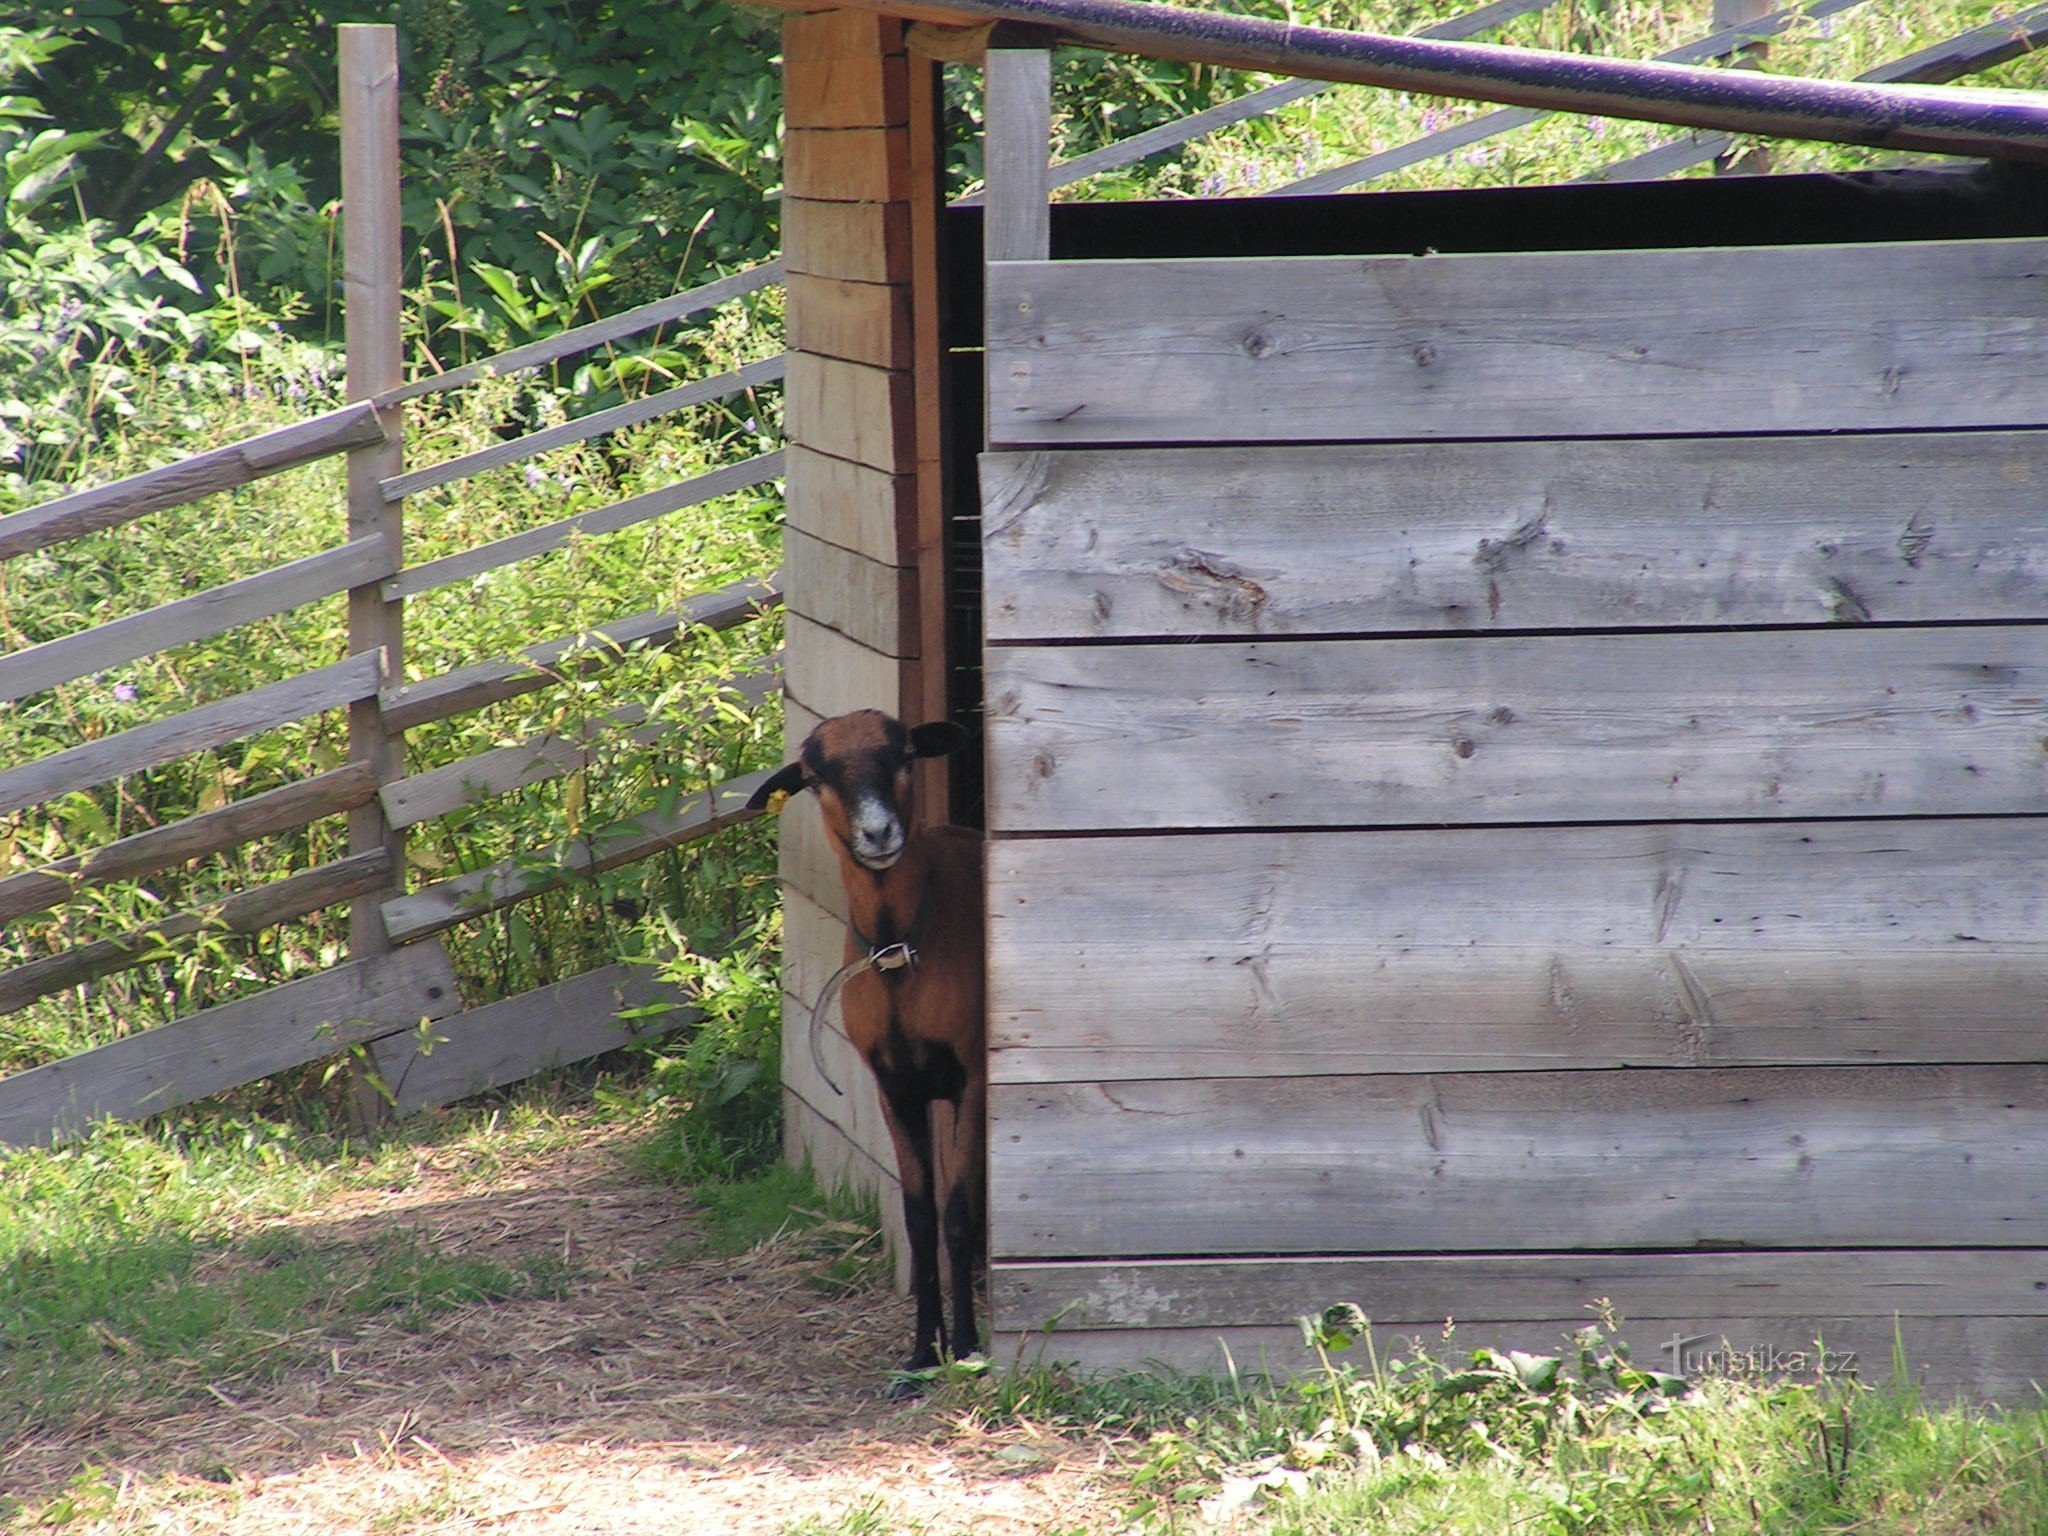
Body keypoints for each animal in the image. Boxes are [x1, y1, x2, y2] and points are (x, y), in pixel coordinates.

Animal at [749, 708, 987, 1392]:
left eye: (903, 754)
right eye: (816, 776)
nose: (878, 832)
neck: (899, 953)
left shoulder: (973, 1073)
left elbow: (958, 1213)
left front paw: (967, 1347)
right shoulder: (893, 1084)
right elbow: (920, 1217)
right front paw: (920, 1354)